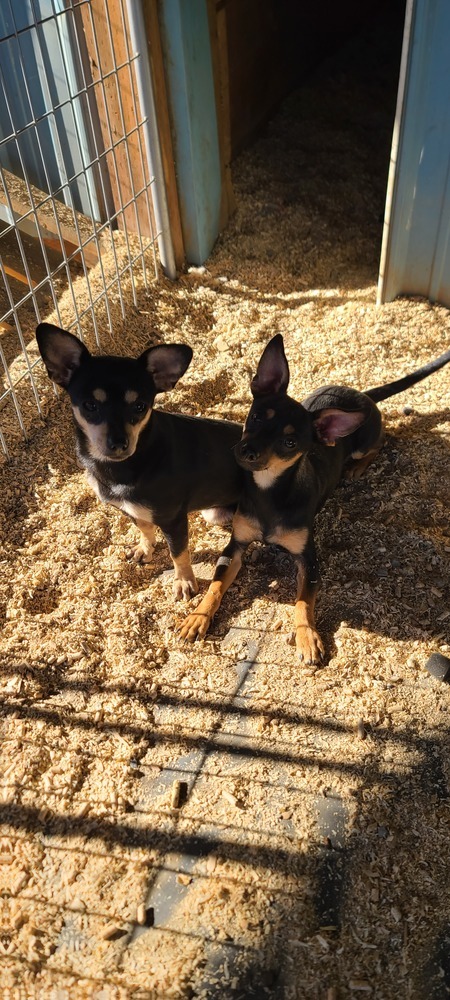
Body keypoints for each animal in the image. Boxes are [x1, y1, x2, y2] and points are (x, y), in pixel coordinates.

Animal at [36, 324, 243, 596]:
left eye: (140, 407)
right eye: (90, 405)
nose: (119, 443)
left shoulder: (173, 520)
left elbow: (178, 553)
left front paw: (184, 581)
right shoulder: (130, 509)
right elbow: (144, 528)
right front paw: (145, 549)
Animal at [180, 336, 450, 664]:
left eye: (290, 442)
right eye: (255, 416)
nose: (246, 451)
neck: (269, 492)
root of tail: (361, 395)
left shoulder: (308, 561)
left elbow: (303, 603)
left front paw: (307, 637)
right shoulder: (235, 547)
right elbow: (216, 586)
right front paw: (197, 617)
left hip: (363, 443)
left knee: (380, 441)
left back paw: (357, 467)